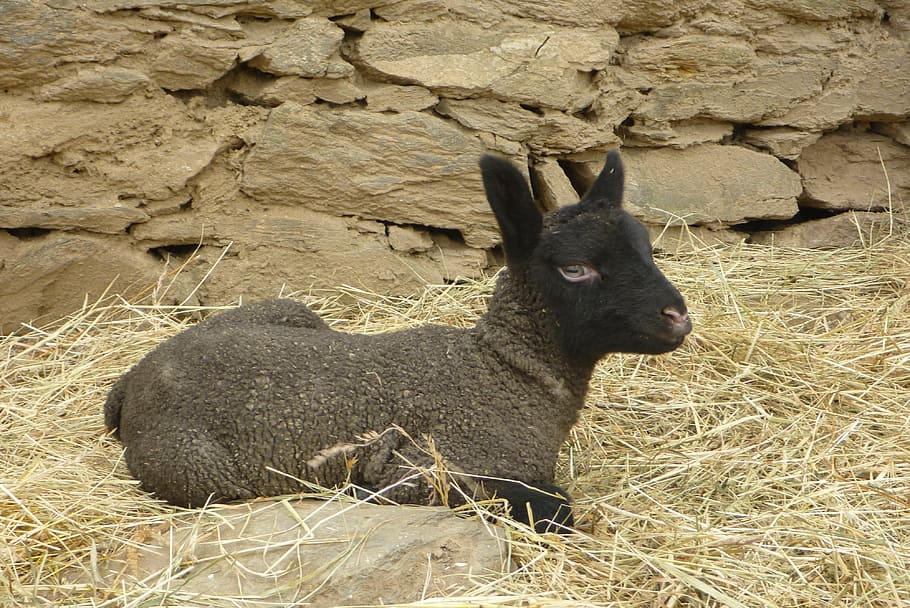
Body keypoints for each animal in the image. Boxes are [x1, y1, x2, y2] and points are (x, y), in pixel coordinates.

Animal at [104, 151, 691, 533]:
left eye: (647, 248)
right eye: (575, 268)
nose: (678, 317)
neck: (505, 370)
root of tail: (135, 378)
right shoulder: (430, 468)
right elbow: (555, 509)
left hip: (291, 311)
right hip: (194, 468)